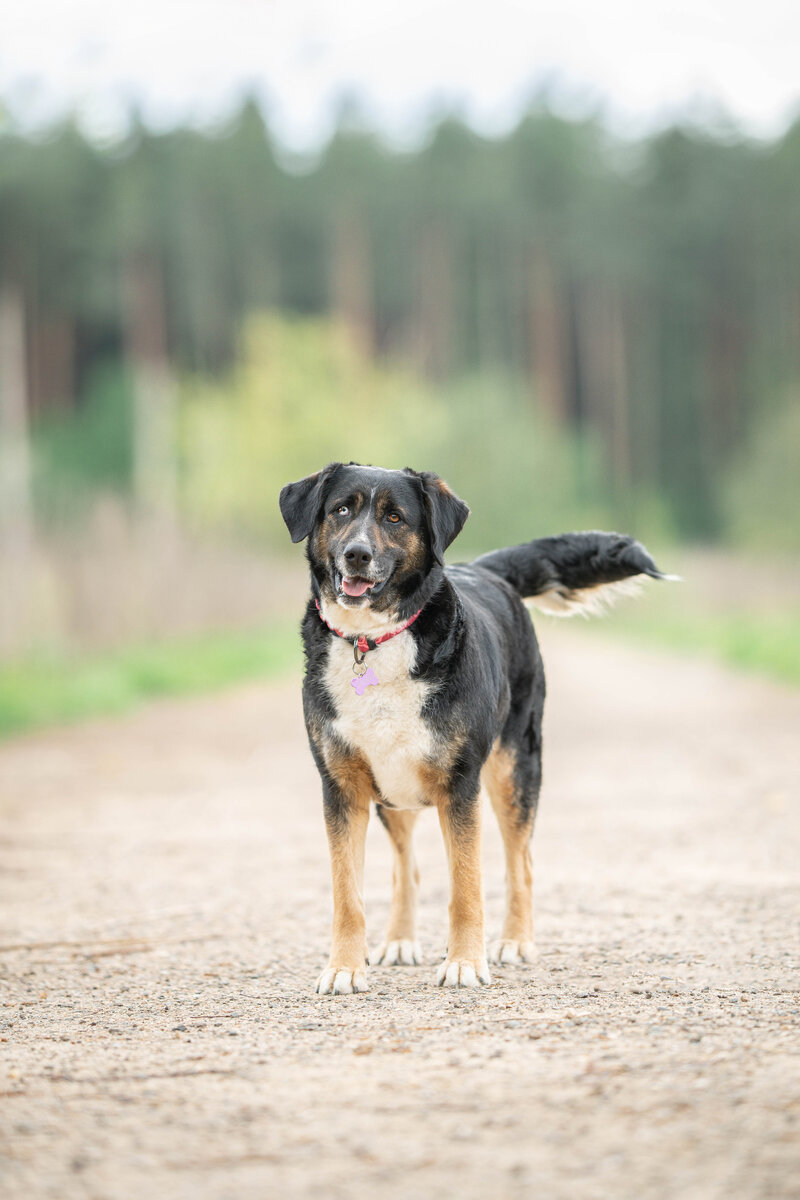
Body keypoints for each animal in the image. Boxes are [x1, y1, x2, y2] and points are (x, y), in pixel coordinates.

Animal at [278, 463, 671, 998]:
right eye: (341, 509)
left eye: (395, 517)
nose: (357, 554)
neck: (374, 641)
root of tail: (488, 570)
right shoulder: (341, 787)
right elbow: (348, 894)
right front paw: (344, 968)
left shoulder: (460, 785)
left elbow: (466, 886)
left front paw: (464, 963)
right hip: (393, 792)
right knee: (407, 868)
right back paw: (399, 942)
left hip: (513, 769)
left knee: (520, 864)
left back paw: (515, 943)